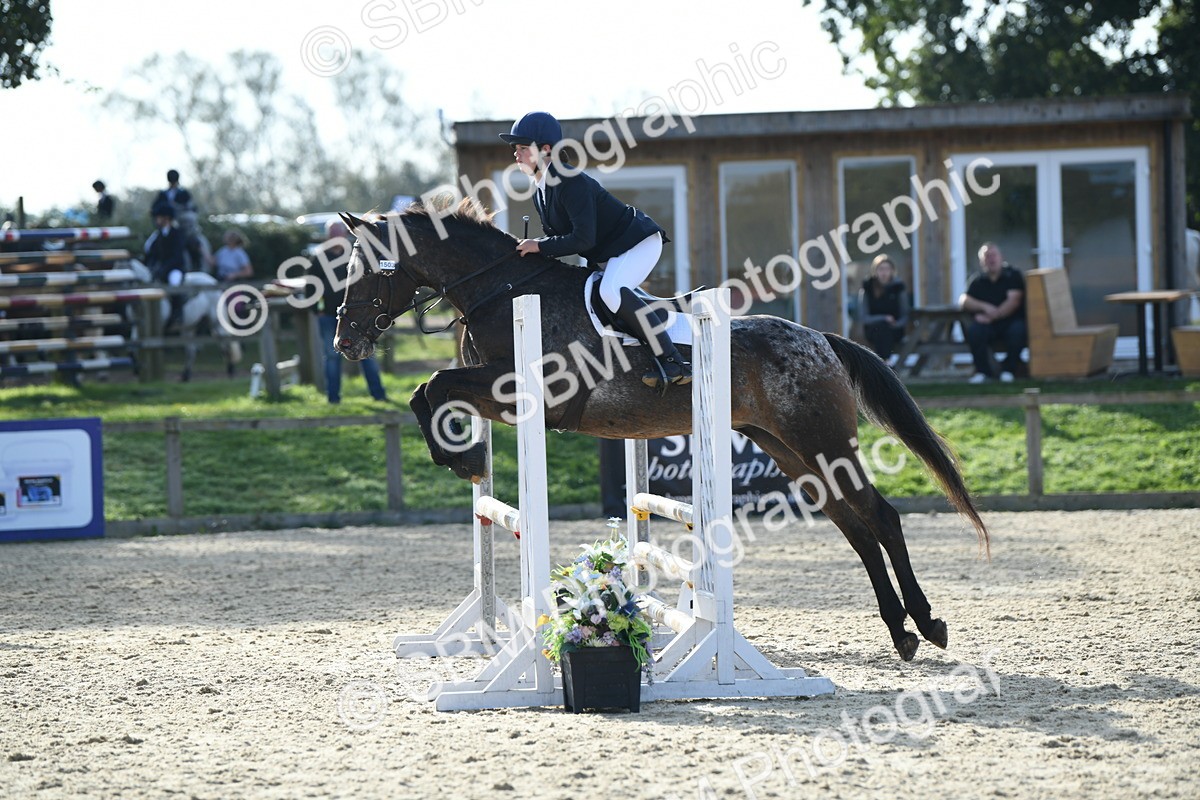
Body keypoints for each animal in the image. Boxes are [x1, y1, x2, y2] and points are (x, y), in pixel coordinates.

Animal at [332, 199, 990, 662]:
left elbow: (434, 385)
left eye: (367, 271)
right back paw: (901, 633)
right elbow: (428, 392)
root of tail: (820, 340)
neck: (502, 289)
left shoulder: (523, 392)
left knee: (880, 517)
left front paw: (462, 459)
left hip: (822, 441)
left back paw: (927, 624)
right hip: (790, 452)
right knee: (855, 529)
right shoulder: (498, 397)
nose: (344, 340)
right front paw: (465, 458)